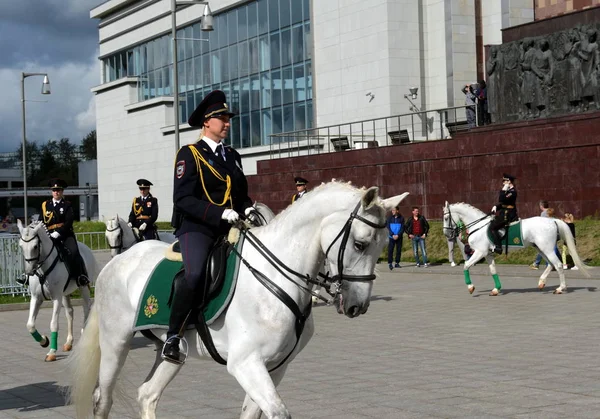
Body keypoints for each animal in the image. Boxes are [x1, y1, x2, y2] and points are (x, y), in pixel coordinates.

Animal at [16, 220, 98, 360]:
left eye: (35, 246)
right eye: (21, 246)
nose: (29, 272)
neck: (42, 269)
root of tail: (86, 248)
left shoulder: (56, 298)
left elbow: (54, 324)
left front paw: (52, 352)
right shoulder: (36, 298)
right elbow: (30, 325)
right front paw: (44, 341)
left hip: (83, 287)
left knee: (86, 308)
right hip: (65, 293)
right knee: (70, 312)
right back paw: (69, 343)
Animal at [68, 182, 410, 418]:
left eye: (383, 245)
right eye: (360, 243)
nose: (356, 306)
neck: (275, 275)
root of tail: (117, 261)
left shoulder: (276, 366)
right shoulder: (246, 363)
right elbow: (278, 412)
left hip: (171, 351)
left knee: (147, 394)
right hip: (116, 344)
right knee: (103, 400)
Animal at [440, 203, 592, 296]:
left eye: (446, 217)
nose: (447, 234)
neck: (479, 226)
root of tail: (552, 220)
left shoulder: (479, 252)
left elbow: (466, 266)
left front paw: (470, 287)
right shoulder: (488, 255)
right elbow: (493, 271)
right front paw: (496, 289)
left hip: (547, 248)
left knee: (558, 265)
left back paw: (560, 288)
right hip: (540, 249)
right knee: (550, 264)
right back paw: (541, 283)